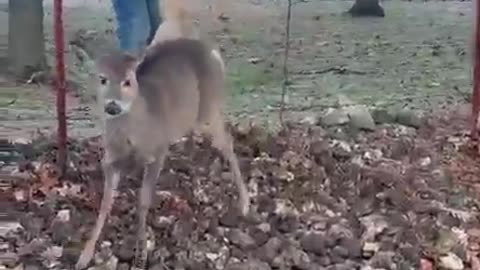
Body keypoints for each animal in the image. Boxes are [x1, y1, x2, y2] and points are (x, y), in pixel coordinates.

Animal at [74, 38, 251, 270]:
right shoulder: (110, 160)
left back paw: (245, 204)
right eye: (102, 79)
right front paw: (84, 256)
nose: (113, 106)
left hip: (208, 108)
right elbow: (105, 204)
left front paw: (140, 255)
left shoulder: (158, 151)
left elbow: (143, 202)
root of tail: (212, 50)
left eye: (128, 81)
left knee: (227, 142)